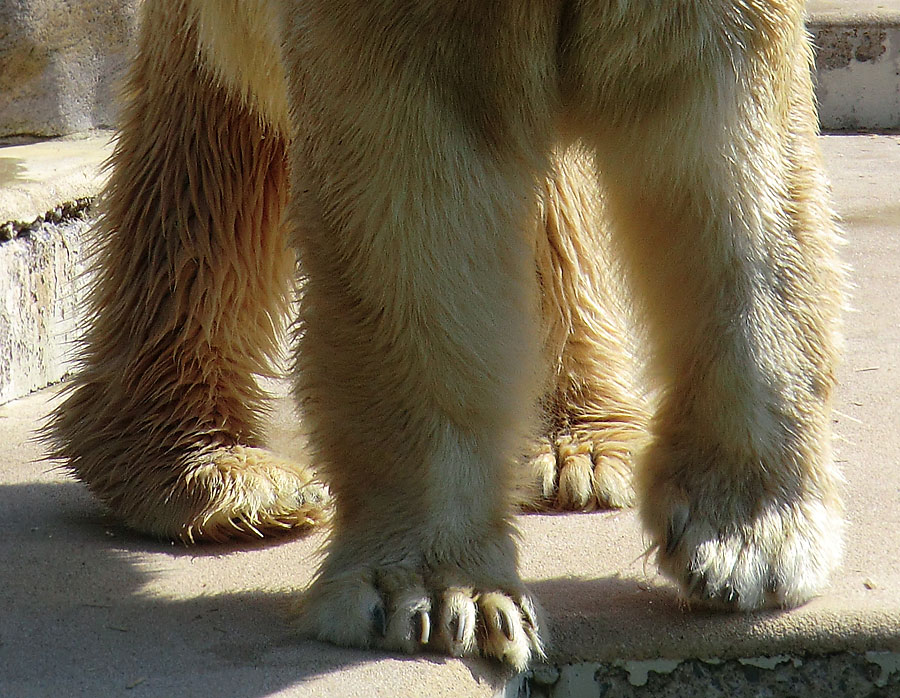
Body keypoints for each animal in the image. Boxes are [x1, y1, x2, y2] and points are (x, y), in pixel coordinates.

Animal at [49, 0, 844, 668]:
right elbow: (413, 206)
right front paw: (434, 596)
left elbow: (738, 172)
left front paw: (749, 541)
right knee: (208, 131)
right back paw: (212, 473)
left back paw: (578, 447)